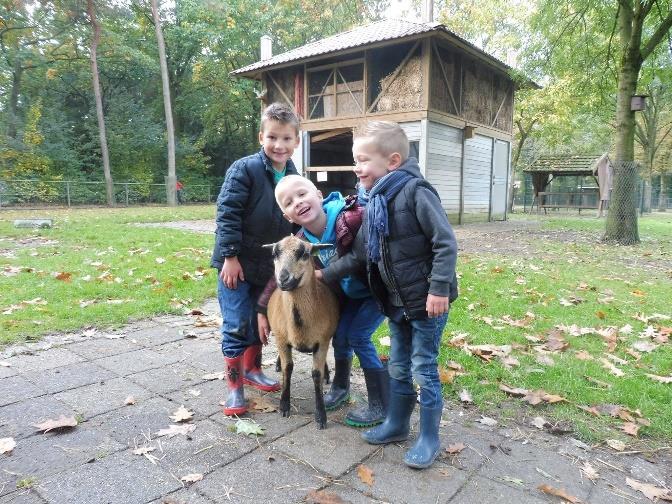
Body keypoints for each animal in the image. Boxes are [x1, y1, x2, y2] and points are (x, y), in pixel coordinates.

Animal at [264, 236, 338, 430]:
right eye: (274, 254)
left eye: (304, 254)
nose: (283, 278)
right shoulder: (282, 339)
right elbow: (287, 368)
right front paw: (284, 406)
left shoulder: (322, 341)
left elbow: (316, 374)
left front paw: (321, 416)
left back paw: (327, 374)